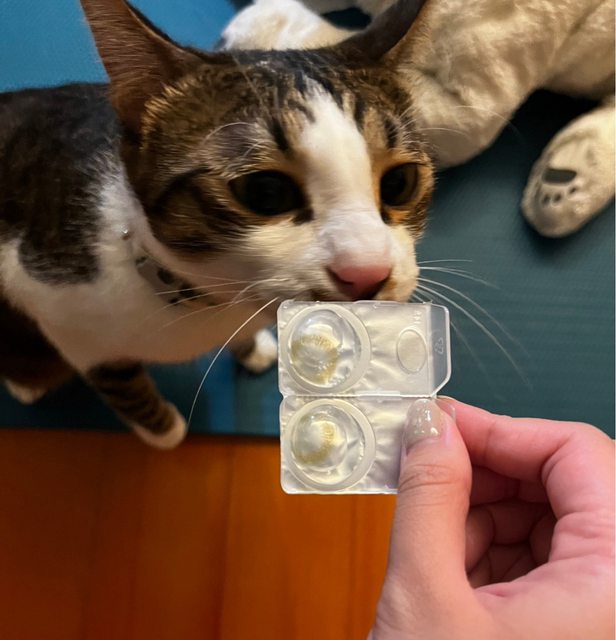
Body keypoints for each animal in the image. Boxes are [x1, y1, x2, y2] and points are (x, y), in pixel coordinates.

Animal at [0, 0, 434, 448]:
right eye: (265, 192)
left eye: (399, 183)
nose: (367, 273)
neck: (209, 300)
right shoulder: (58, 311)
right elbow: (120, 382)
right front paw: (165, 430)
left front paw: (251, 347)